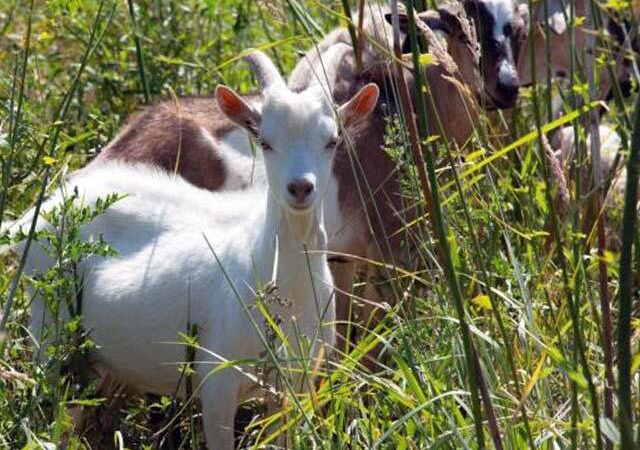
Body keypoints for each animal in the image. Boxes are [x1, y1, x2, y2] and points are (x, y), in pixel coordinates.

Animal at [13, 50, 380, 450]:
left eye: (332, 141)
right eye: (265, 142)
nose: (300, 188)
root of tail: (40, 212)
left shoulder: (296, 381)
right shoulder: (217, 379)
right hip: (50, 328)